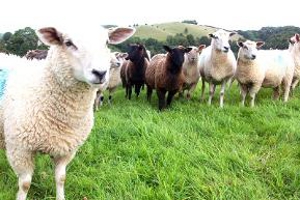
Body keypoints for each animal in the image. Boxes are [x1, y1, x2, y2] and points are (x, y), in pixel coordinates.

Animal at [0, 25, 135, 200]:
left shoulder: (66, 148)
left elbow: (61, 178)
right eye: (68, 43)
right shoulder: (20, 149)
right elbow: (25, 184)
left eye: (106, 42)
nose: (100, 73)